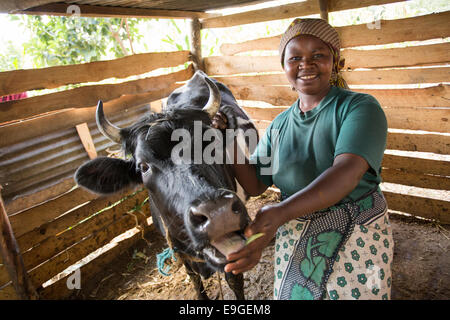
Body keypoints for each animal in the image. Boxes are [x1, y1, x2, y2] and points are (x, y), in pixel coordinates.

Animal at [73, 70, 258, 300]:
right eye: (143, 166)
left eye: (211, 144)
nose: (218, 214)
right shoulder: (180, 253)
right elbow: (195, 281)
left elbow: (234, 280)